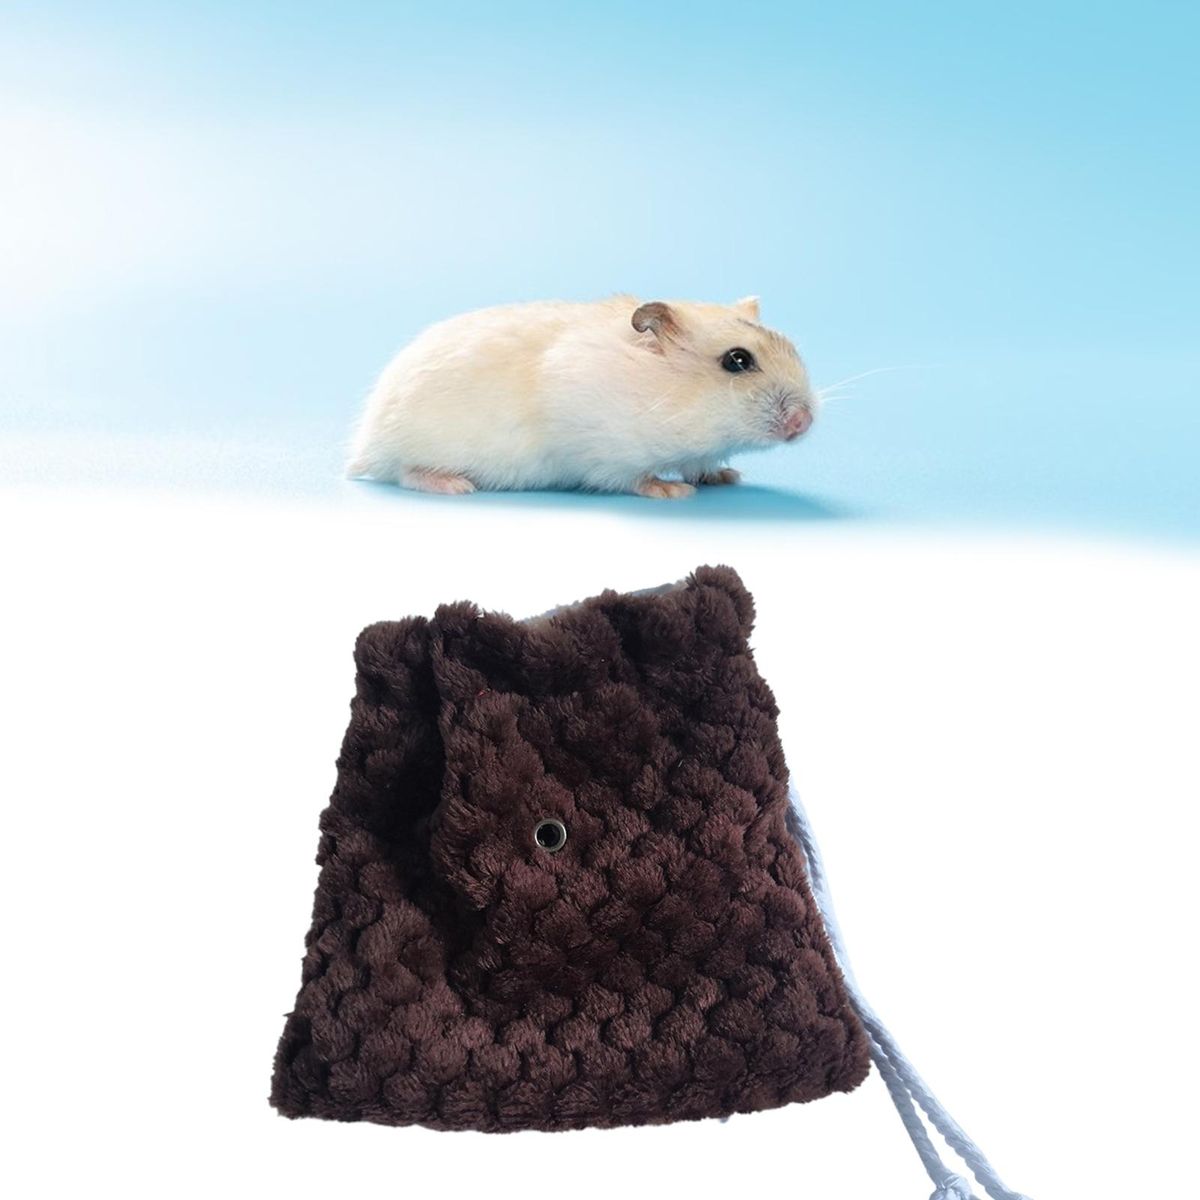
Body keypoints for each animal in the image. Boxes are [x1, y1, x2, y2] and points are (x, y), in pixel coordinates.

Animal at [346, 295, 816, 498]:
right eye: (737, 360)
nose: (805, 422)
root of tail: (365, 446)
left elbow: (700, 464)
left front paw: (726, 476)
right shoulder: (606, 453)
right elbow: (632, 477)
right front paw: (673, 491)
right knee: (405, 472)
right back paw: (456, 486)